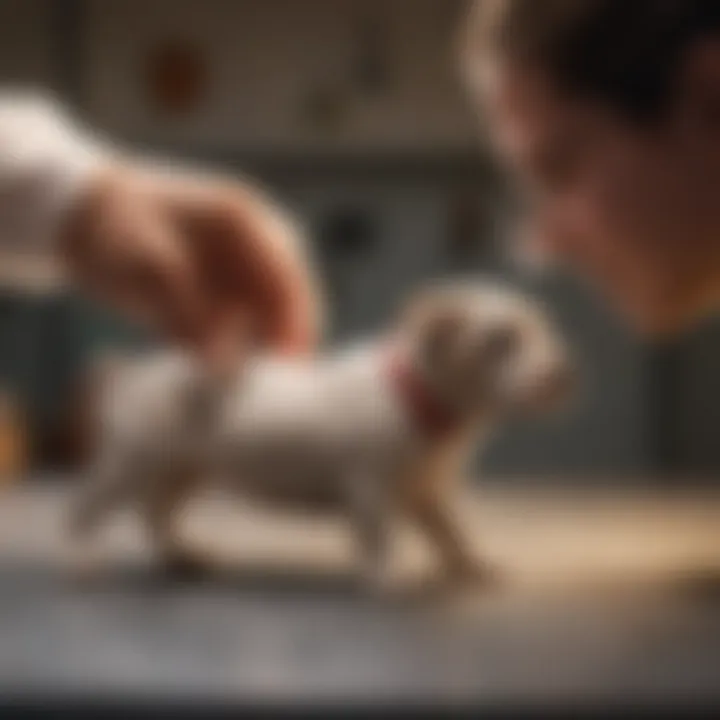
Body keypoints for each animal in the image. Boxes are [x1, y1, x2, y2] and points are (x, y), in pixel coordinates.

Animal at [69, 278, 572, 588]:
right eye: (500, 341)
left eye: (544, 328)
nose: (563, 375)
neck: (419, 400)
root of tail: (129, 373)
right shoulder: (370, 488)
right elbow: (379, 535)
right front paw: (386, 577)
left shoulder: (429, 492)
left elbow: (454, 533)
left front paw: (473, 566)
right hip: (131, 461)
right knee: (88, 508)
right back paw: (85, 558)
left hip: (184, 470)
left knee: (155, 513)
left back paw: (181, 555)